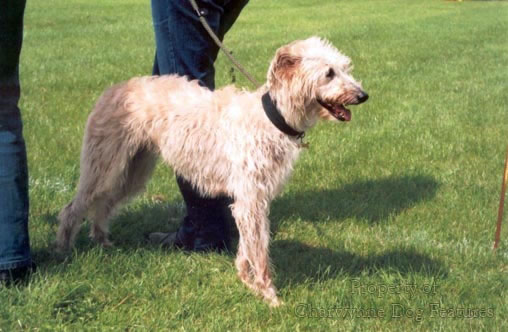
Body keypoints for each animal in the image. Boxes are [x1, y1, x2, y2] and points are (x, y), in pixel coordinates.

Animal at [56, 37, 370, 306]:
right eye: (329, 73)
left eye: (345, 68)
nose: (363, 95)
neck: (270, 118)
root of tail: (113, 89)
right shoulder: (250, 199)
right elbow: (259, 248)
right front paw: (269, 295)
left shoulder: (252, 200)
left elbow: (249, 246)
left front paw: (247, 281)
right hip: (104, 165)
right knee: (73, 208)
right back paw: (63, 250)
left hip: (133, 170)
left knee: (103, 204)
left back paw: (102, 240)